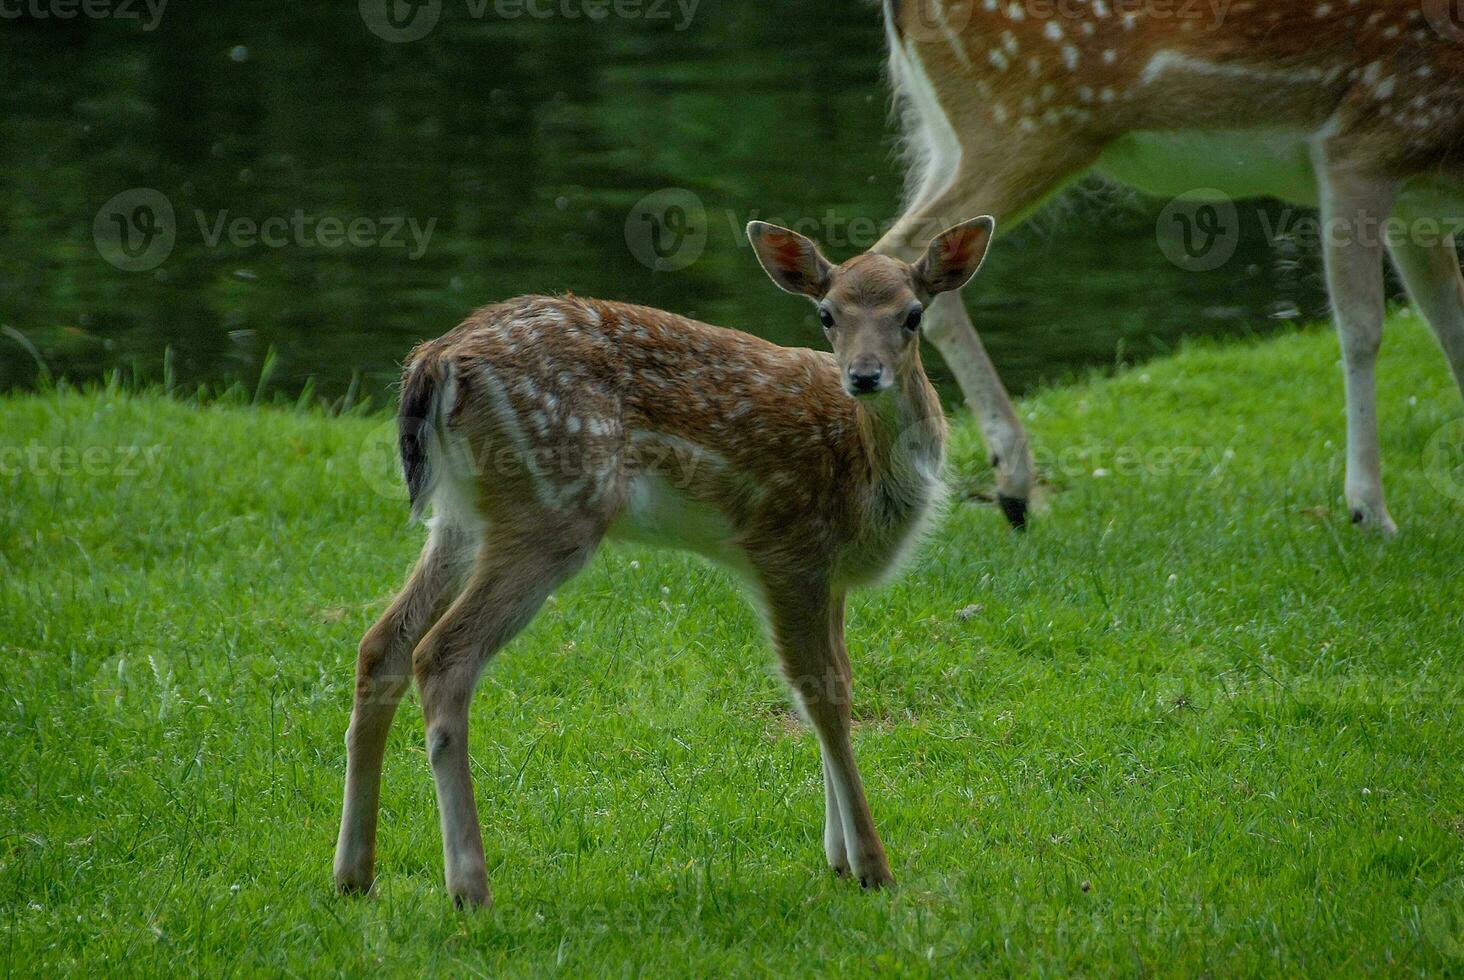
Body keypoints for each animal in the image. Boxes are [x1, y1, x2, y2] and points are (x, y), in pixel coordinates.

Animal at [332, 218, 995, 908]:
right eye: (826, 315)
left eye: (914, 314)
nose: (864, 376)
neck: (863, 467)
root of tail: (436, 360)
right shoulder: (791, 551)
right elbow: (823, 691)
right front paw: (871, 866)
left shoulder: (828, 574)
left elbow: (829, 682)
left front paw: (838, 859)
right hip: (555, 508)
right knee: (442, 654)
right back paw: (469, 885)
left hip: (461, 517)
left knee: (382, 643)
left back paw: (354, 874)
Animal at [872, 0, 1464, 536]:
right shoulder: (1361, 144)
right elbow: (1362, 329)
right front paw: (1370, 512)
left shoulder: (1417, 205)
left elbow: (1449, 323)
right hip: (1027, 119)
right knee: (902, 250)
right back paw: (1007, 486)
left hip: (951, 136)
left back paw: (1005, 488)